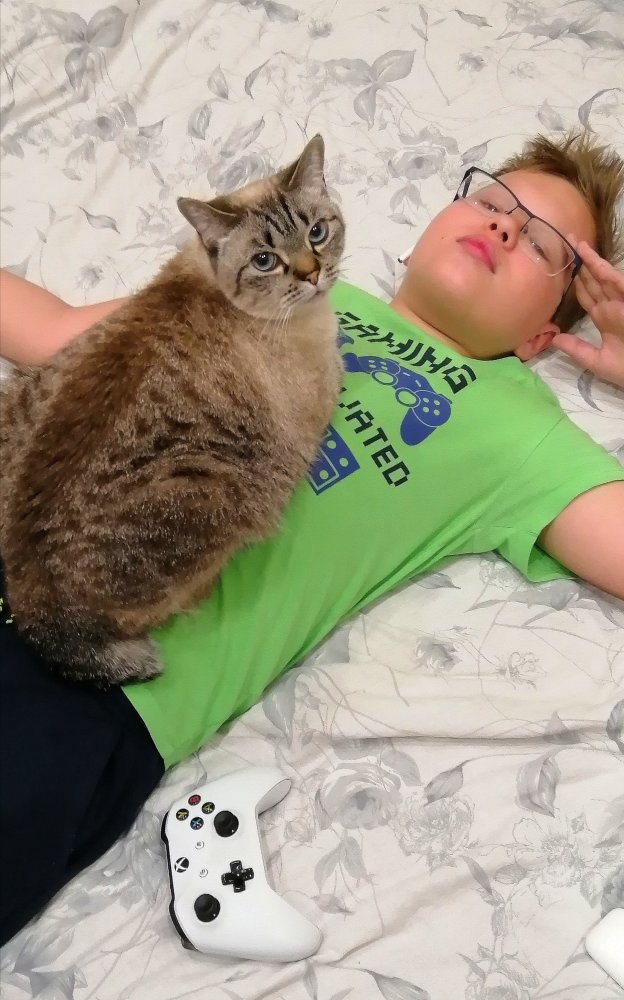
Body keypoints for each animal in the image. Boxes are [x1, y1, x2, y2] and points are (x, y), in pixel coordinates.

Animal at [0, 134, 345, 686]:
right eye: (265, 260)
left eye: (318, 232)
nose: (312, 274)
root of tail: (34, 612)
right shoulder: (324, 386)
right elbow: (342, 356)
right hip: (216, 490)